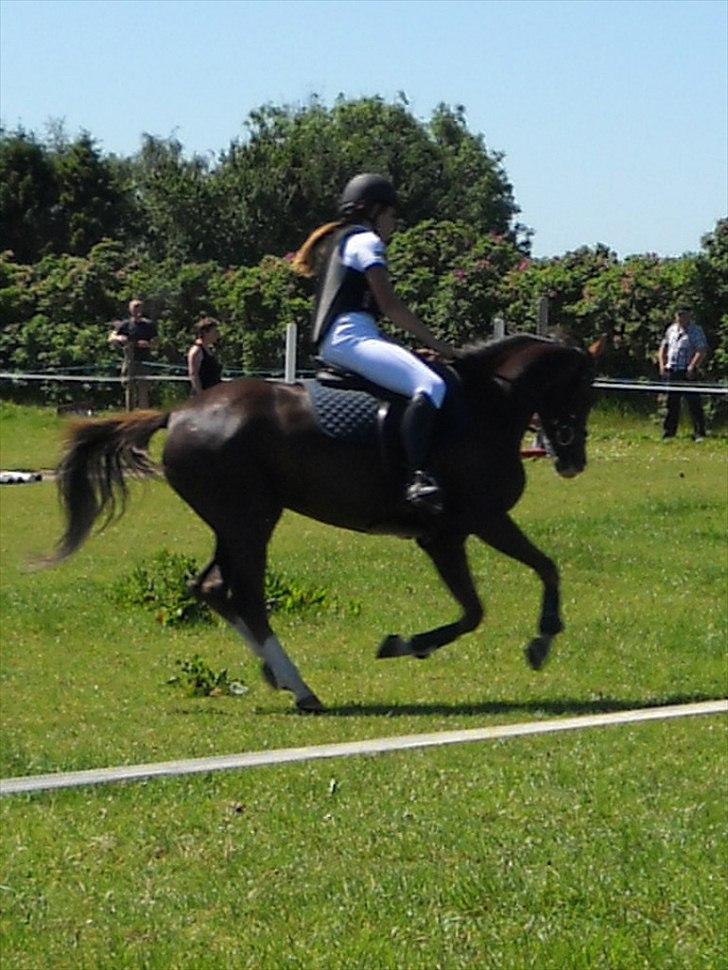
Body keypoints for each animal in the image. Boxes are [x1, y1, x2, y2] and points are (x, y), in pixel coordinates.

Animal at [47, 334, 601, 712]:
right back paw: (301, 688)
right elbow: (493, 601)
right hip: (250, 521)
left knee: (212, 588)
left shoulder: (456, 533)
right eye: (584, 392)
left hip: (234, 522)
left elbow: (513, 588)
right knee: (245, 595)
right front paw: (532, 640)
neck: (486, 406)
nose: (574, 461)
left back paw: (277, 676)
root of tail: (179, 414)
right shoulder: (468, 526)